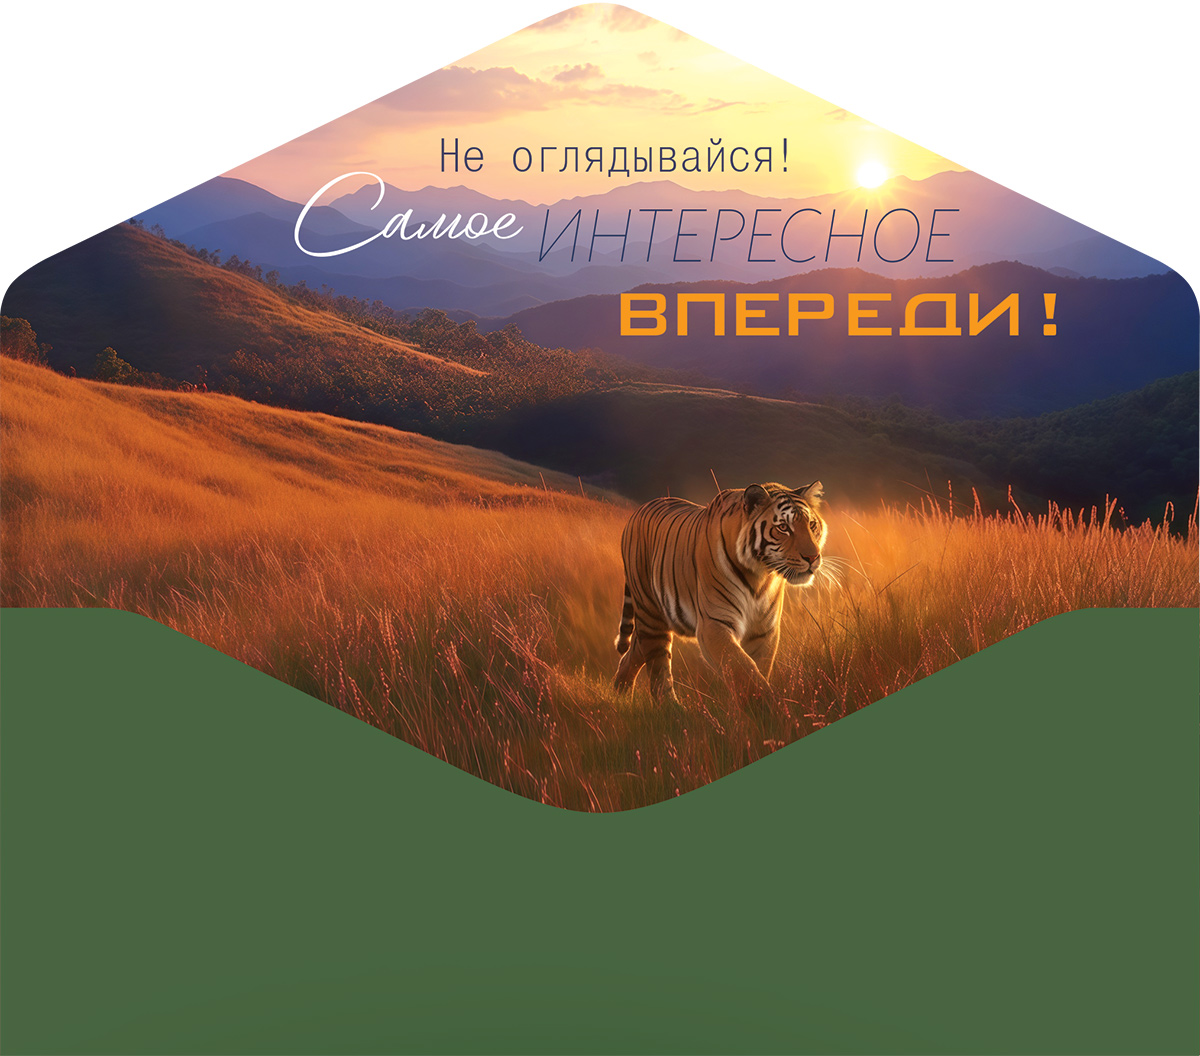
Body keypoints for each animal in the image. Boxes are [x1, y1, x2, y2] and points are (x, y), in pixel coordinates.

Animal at [613, 480, 828, 705]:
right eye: (783, 528)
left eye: (812, 525)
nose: (813, 557)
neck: (760, 575)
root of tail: (637, 511)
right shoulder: (714, 625)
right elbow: (743, 669)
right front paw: (772, 710)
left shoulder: (763, 630)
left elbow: (757, 669)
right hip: (650, 615)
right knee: (658, 664)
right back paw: (671, 707)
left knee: (634, 651)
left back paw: (621, 692)